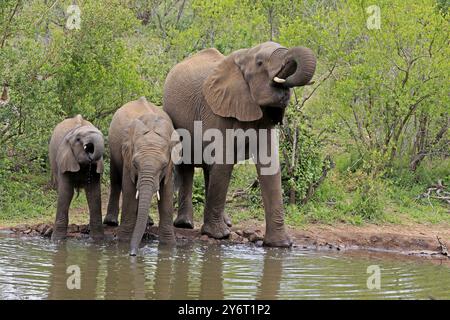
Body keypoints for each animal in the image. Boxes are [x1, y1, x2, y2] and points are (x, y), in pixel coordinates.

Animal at [103, 97, 178, 255]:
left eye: (163, 165)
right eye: (135, 164)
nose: (132, 253)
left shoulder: (170, 166)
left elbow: (167, 194)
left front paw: (169, 245)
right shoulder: (127, 157)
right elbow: (130, 191)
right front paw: (123, 241)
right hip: (113, 150)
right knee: (115, 180)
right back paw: (111, 221)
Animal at [163, 41, 316, 248]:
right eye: (260, 63)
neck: (244, 56)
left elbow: (269, 167)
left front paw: (280, 245)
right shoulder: (217, 108)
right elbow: (224, 161)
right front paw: (218, 235)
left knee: (208, 169)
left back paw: (225, 221)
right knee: (188, 166)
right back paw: (185, 224)